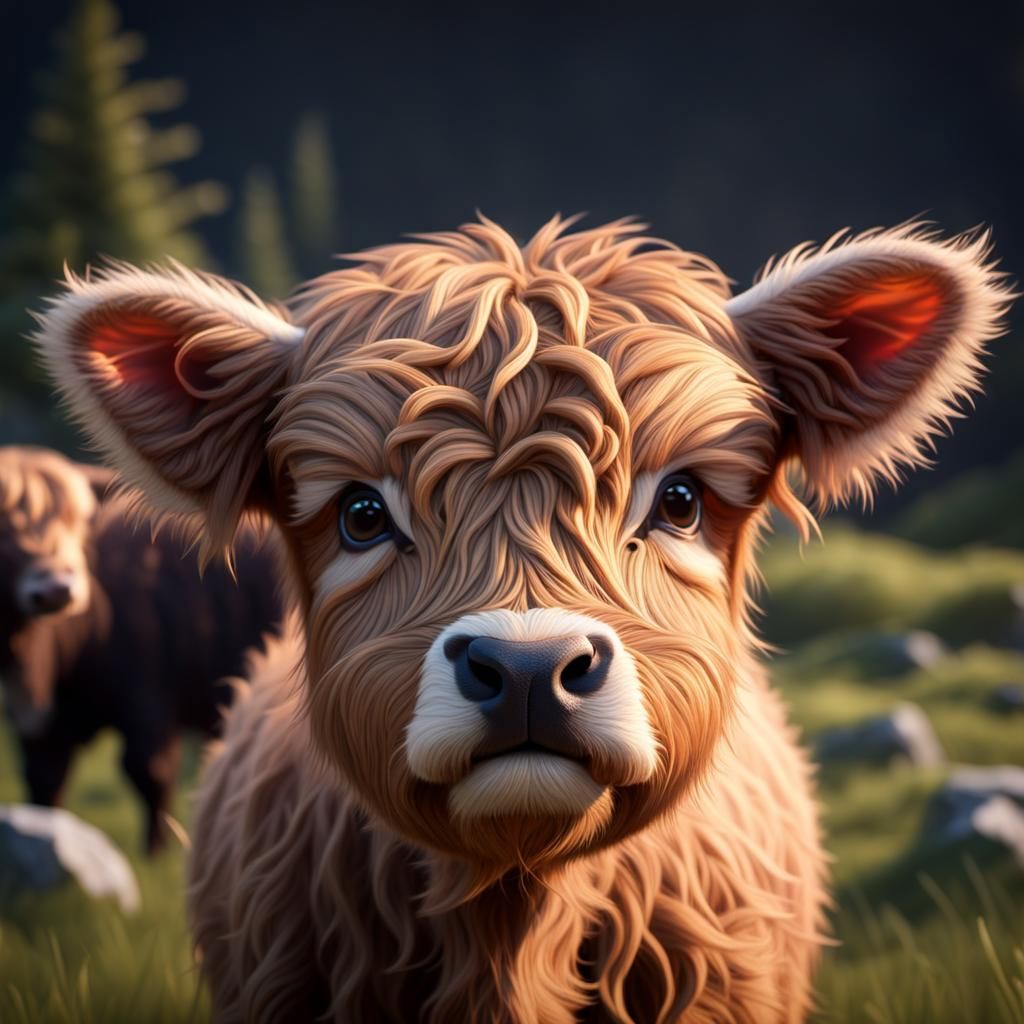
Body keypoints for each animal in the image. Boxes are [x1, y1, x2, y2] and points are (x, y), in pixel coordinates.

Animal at [0, 445, 283, 853]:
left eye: (76, 524)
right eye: (3, 529)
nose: (57, 588)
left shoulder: (148, 698)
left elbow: (150, 772)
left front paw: (156, 851)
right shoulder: (44, 732)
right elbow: (44, 783)